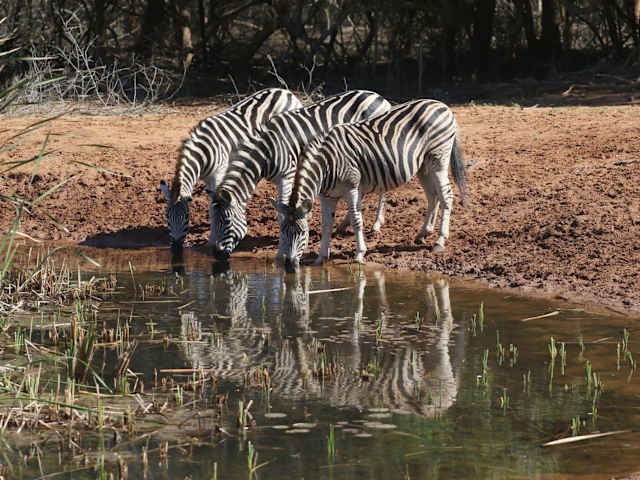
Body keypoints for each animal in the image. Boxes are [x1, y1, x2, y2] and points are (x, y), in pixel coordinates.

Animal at [159, 88, 303, 252]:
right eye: (167, 217)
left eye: (186, 217)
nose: (176, 248)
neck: (204, 150)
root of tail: (285, 91)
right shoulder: (207, 178)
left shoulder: (219, 174)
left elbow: (213, 207)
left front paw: (211, 239)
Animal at [208, 90, 392, 261]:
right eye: (211, 220)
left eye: (227, 222)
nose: (216, 255)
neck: (268, 150)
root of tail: (378, 96)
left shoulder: (287, 176)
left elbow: (282, 214)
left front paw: (281, 251)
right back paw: (344, 223)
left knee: (382, 188)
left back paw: (376, 224)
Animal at [277, 99, 467, 269]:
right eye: (282, 232)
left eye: (302, 233)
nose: (289, 266)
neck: (326, 165)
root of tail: (442, 105)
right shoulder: (327, 195)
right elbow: (326, 225)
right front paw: (321, 258)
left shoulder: (352, 187)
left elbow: (356, 220)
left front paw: (359, 254)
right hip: (423, 166)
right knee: (432, 196)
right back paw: (423, 233)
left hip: (439, 158)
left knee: (446, 196)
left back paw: (440, 241)